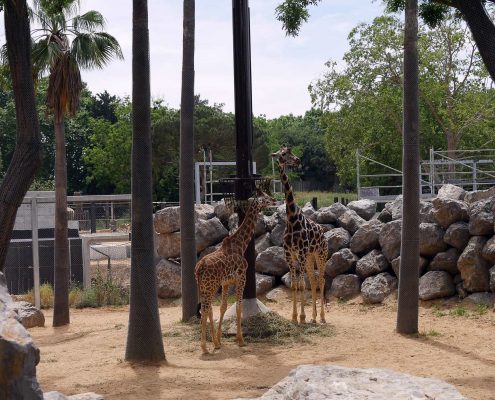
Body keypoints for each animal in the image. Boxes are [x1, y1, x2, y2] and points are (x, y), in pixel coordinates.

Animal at [196, 188, 278, 354]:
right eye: (265, 197)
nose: (275, 200)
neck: (241, 244)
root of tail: (199, 268)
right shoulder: (241, 278)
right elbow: (239, 307)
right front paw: (240, 340)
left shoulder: (226, 282)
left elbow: (223, 307)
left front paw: (219, 340)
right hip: (210, 286)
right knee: (206, 309)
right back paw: (204, 347)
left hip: (203, 287)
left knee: (207, 309)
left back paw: (212, 343)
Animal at [274, 145, 328, 324]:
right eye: (283, 154)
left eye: (290, 151)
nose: (298, 160)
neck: (291, 219)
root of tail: (324, 233)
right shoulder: (290, 255)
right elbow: (295, 285)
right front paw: (294, 317)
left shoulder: (302, 254)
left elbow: (302, 285)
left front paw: (302, 317)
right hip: (311, 257)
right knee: (313, 280)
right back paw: (314, 317)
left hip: (320, 254)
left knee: (321, 280)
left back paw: (322, 317)